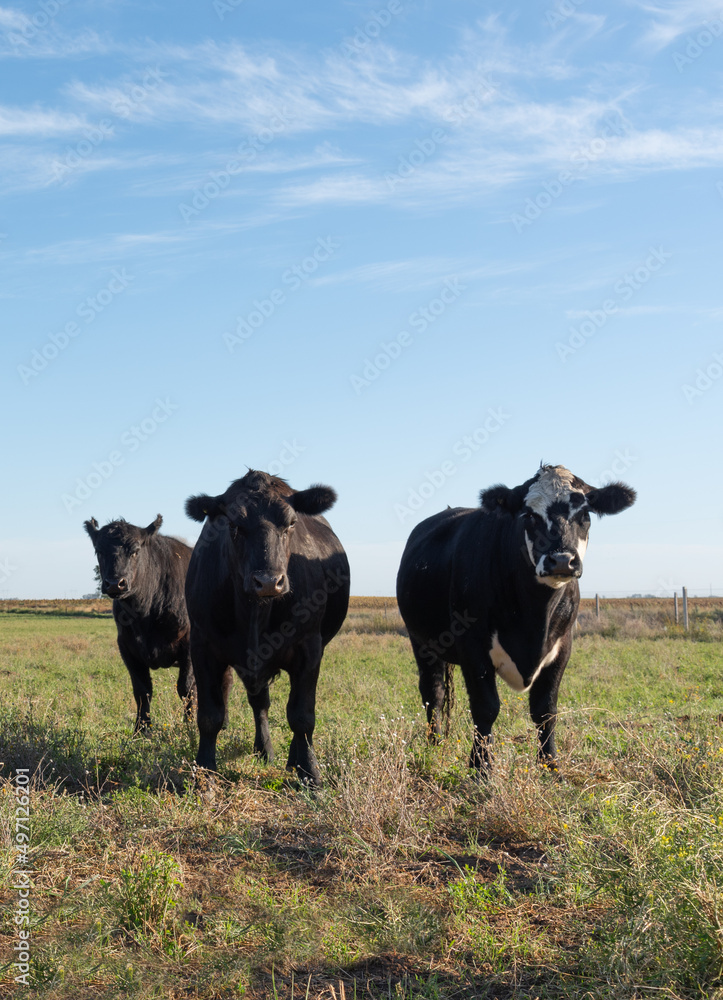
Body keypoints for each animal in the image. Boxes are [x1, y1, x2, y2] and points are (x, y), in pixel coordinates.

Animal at [83, 515, 194, 731]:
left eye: (135, 551)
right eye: (99, 551)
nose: (115, 583)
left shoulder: (190, 645)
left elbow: (186, 689)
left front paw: (190, 729)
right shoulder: (127, 646)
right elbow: (142, 691)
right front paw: (142, 731)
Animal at [184, 470, 350, 786]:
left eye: (292, 522)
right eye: (234, 524)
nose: (269, 581)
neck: (254, 612)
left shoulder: (310, 647)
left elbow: (302, 716)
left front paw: (310, 773)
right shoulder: (202, 646)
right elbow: (210, 716)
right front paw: (205, 772)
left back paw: (295, 760)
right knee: (259, 703)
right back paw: (265, 750)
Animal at [396, 464, 636, 774]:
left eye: (584, 514)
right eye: (530, 515)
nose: (561, 560)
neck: (534, 618)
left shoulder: (563, 647)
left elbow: (545, 709)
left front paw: (551, 764)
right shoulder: (473, 648)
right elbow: (486, 708)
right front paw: (481, 768)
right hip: (421, 642)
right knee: (433, 693)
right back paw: (435, 745)